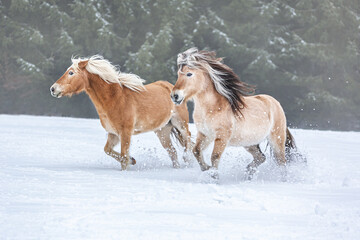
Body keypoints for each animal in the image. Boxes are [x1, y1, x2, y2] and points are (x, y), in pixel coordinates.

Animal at [50, 55, 194, 170]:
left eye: (71, 73)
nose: (53, 89)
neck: (115, 99)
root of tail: (171, 88)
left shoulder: (125, 133)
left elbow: (124, 157)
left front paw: (126, 168)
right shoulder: (113, 133)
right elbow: (108, 150)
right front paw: (133, 160)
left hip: (181, 124)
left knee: (188, 141)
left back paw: (187, 160)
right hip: (162, 130)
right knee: (172, 152)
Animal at [172, 47, 298, 180]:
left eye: (189, 74)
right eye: (178, 74)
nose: (175, 96)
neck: (212, 109)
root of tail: (275, 102)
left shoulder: (222, 136)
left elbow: (215, 156)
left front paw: (213, 175)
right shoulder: (205, 134)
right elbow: (196, 151)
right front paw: (206, 169)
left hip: (276, 140)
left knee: (281, 162)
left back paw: (281, 179)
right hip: (249, 142)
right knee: (261, 157)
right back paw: (248, 173)